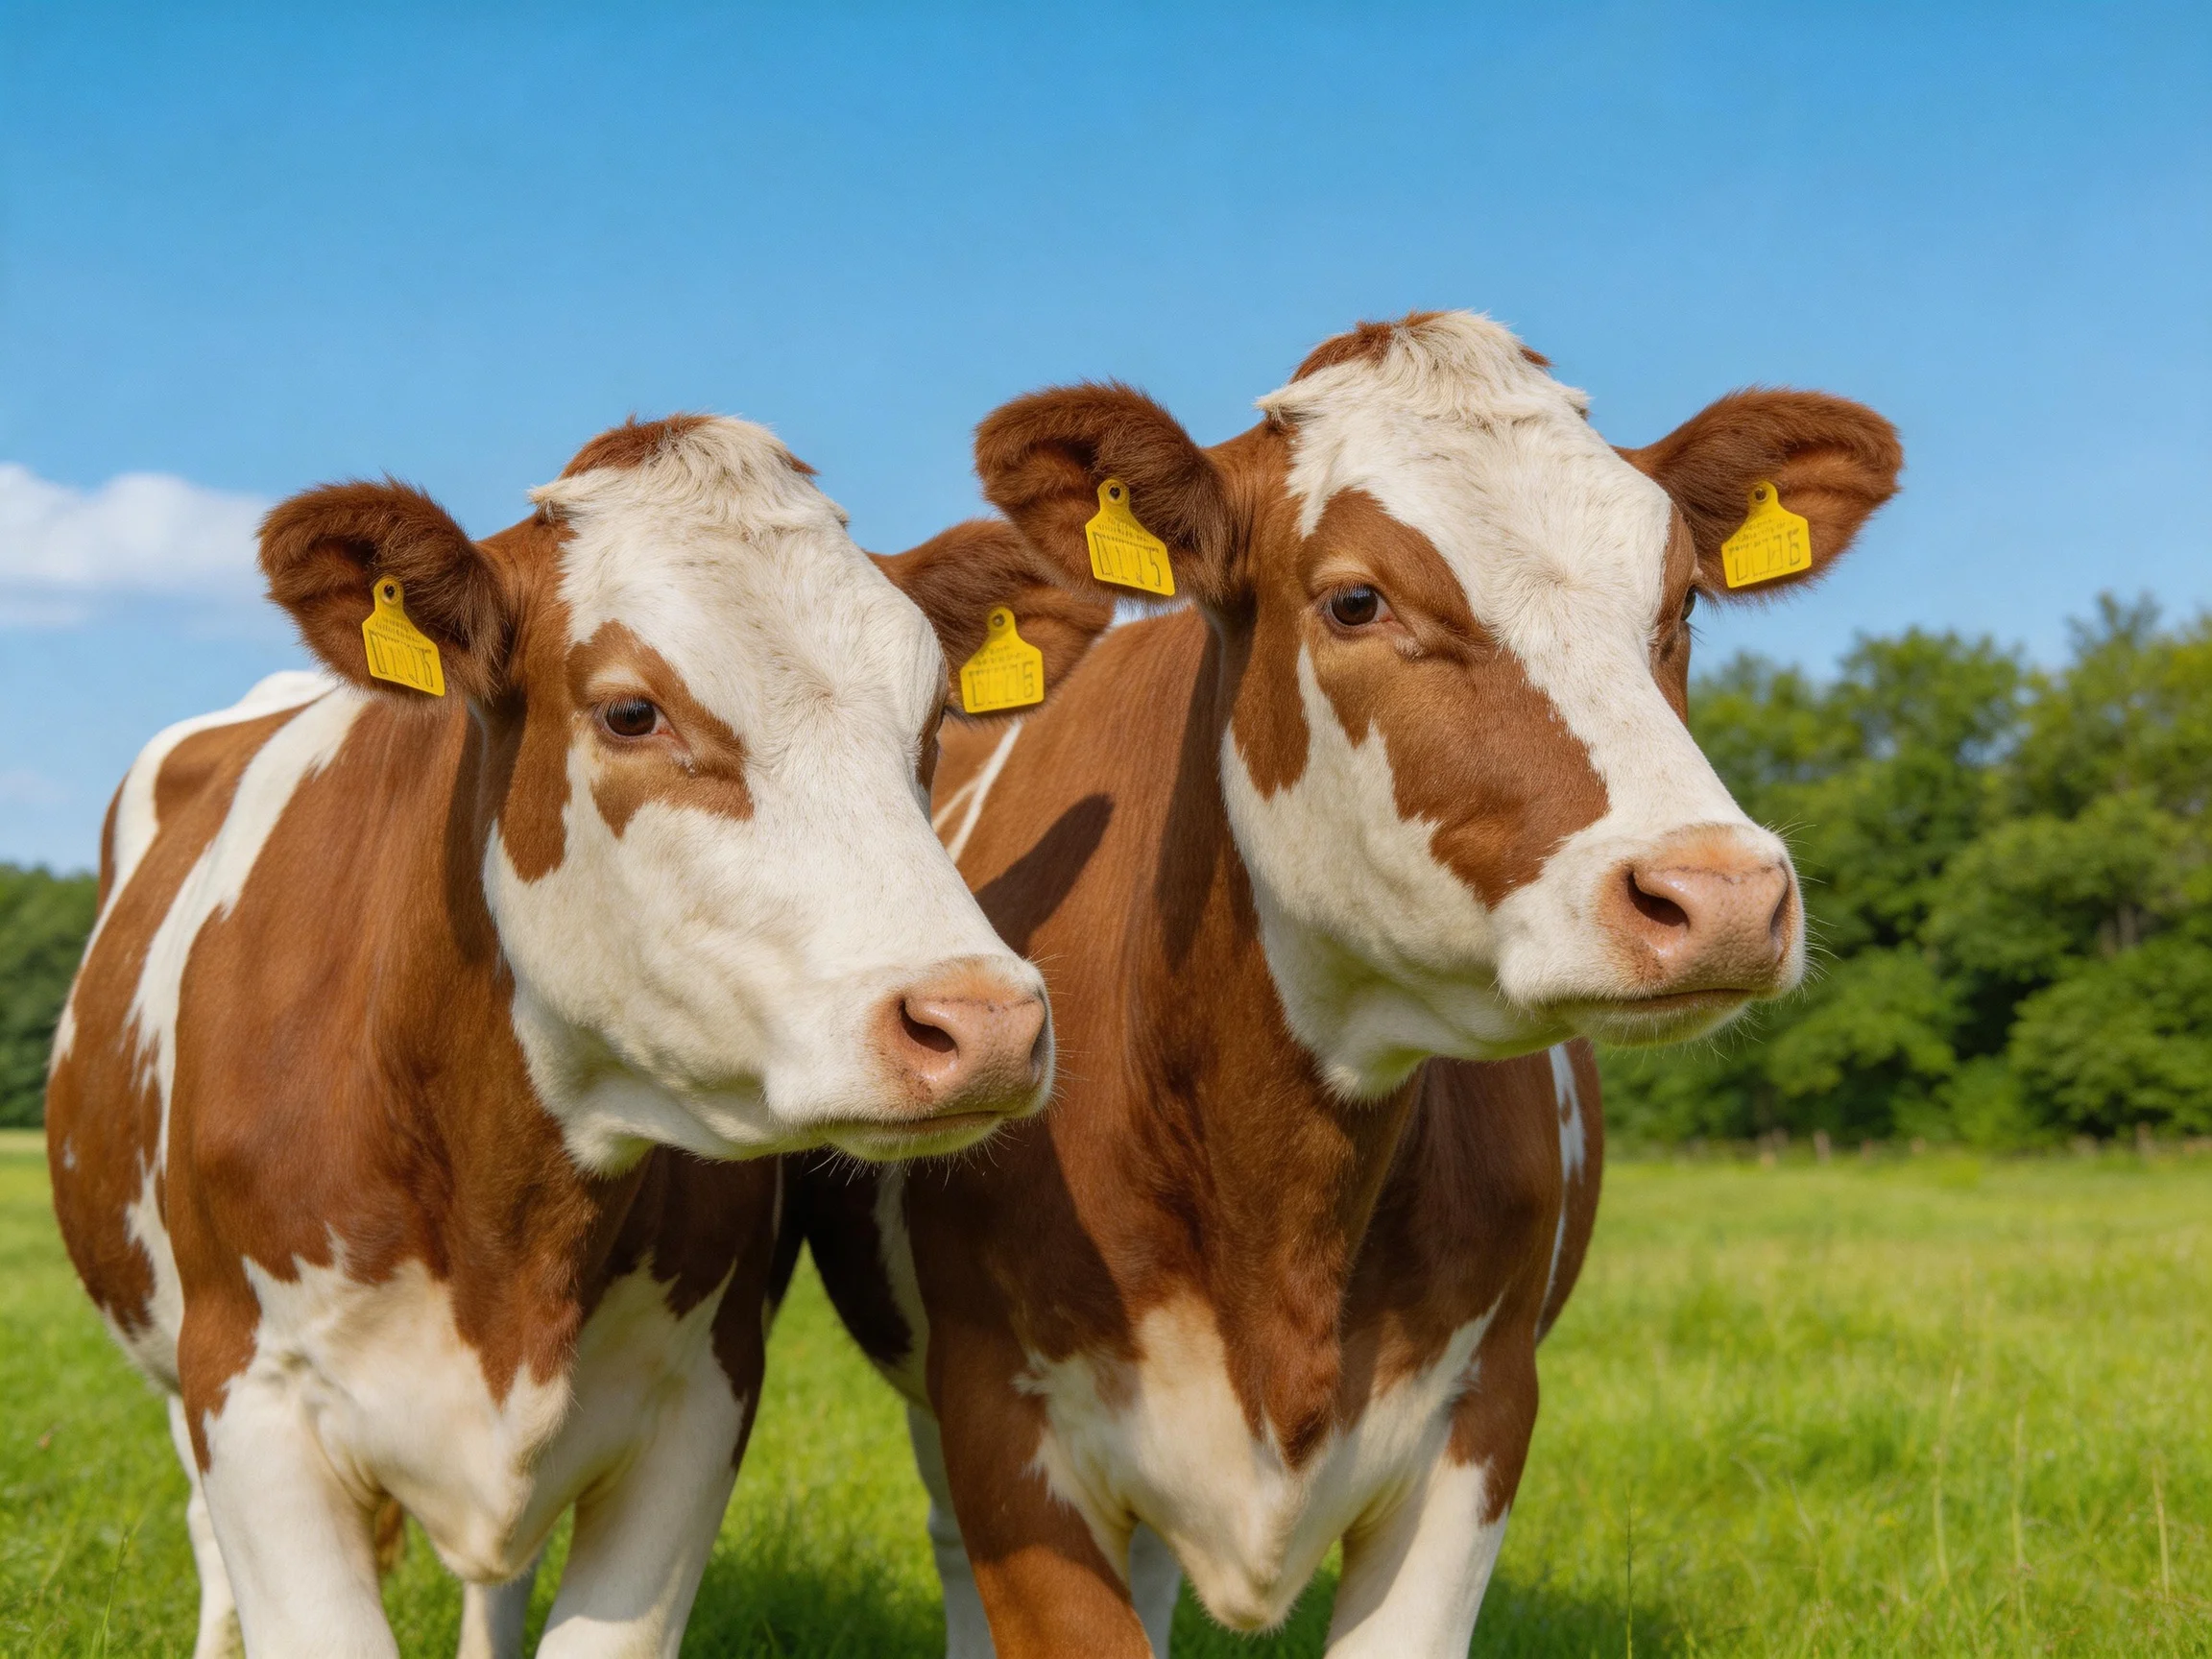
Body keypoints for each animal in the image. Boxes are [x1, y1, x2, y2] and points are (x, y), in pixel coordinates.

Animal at [45, 415, 1067, 1659]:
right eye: (632, 711)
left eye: (933, 724)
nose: (984, 1021)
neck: (506, 1218)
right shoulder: (250, 1396)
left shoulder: (702, 1397)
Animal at [798, 311, 1902, 1657]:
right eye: (1357, 600)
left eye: (1681, 596)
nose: (1721, 895)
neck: (1279, 1200)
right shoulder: (999, 1417)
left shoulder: (1483, 1412)